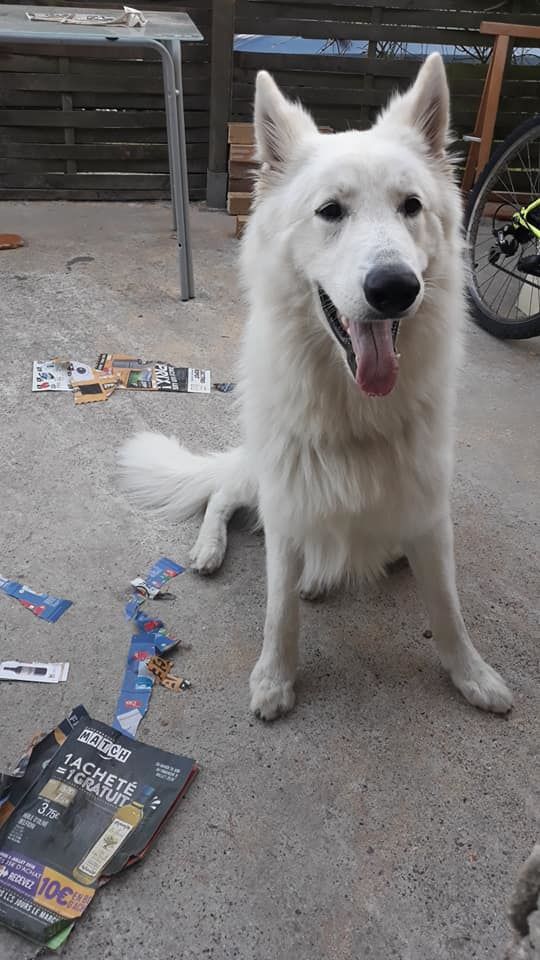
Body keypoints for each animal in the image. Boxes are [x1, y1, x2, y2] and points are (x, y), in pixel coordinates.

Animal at [119, 54, 512, 721]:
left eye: (411, 206)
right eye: (331, 211)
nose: (395, 288)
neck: (356, 408)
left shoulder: (428, 513)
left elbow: (449, 611)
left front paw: (473, 676)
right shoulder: (284, 505)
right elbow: (280, 613)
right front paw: (274, 680)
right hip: (258, 472)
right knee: (223, 491)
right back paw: (210, 550)